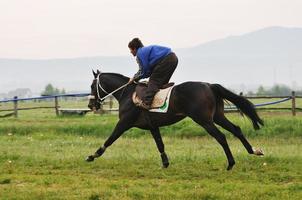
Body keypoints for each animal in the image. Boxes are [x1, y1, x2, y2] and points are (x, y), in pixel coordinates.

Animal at [86, 70, 264, 170]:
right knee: (236, 129)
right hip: (217, 116)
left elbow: (109, 140)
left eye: (92, 86)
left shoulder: (124, 123)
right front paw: (165, 163)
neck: (128, 93)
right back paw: (254, 150)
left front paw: (92, 156)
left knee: (221, 137)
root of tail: (208, 85)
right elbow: (160, 144)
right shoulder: (153, 126)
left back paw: (231, 163)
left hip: (204, 120)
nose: (90, 105)